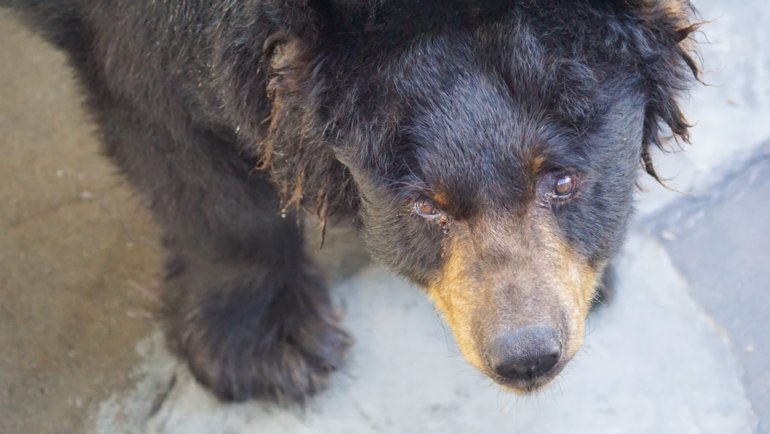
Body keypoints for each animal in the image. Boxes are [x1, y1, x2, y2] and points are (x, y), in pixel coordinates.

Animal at [1, 0, 696, 406]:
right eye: (427, 207)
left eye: (563, 181)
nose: (526, 358)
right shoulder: (140, 36)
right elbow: (178, 147)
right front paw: (273, 354)